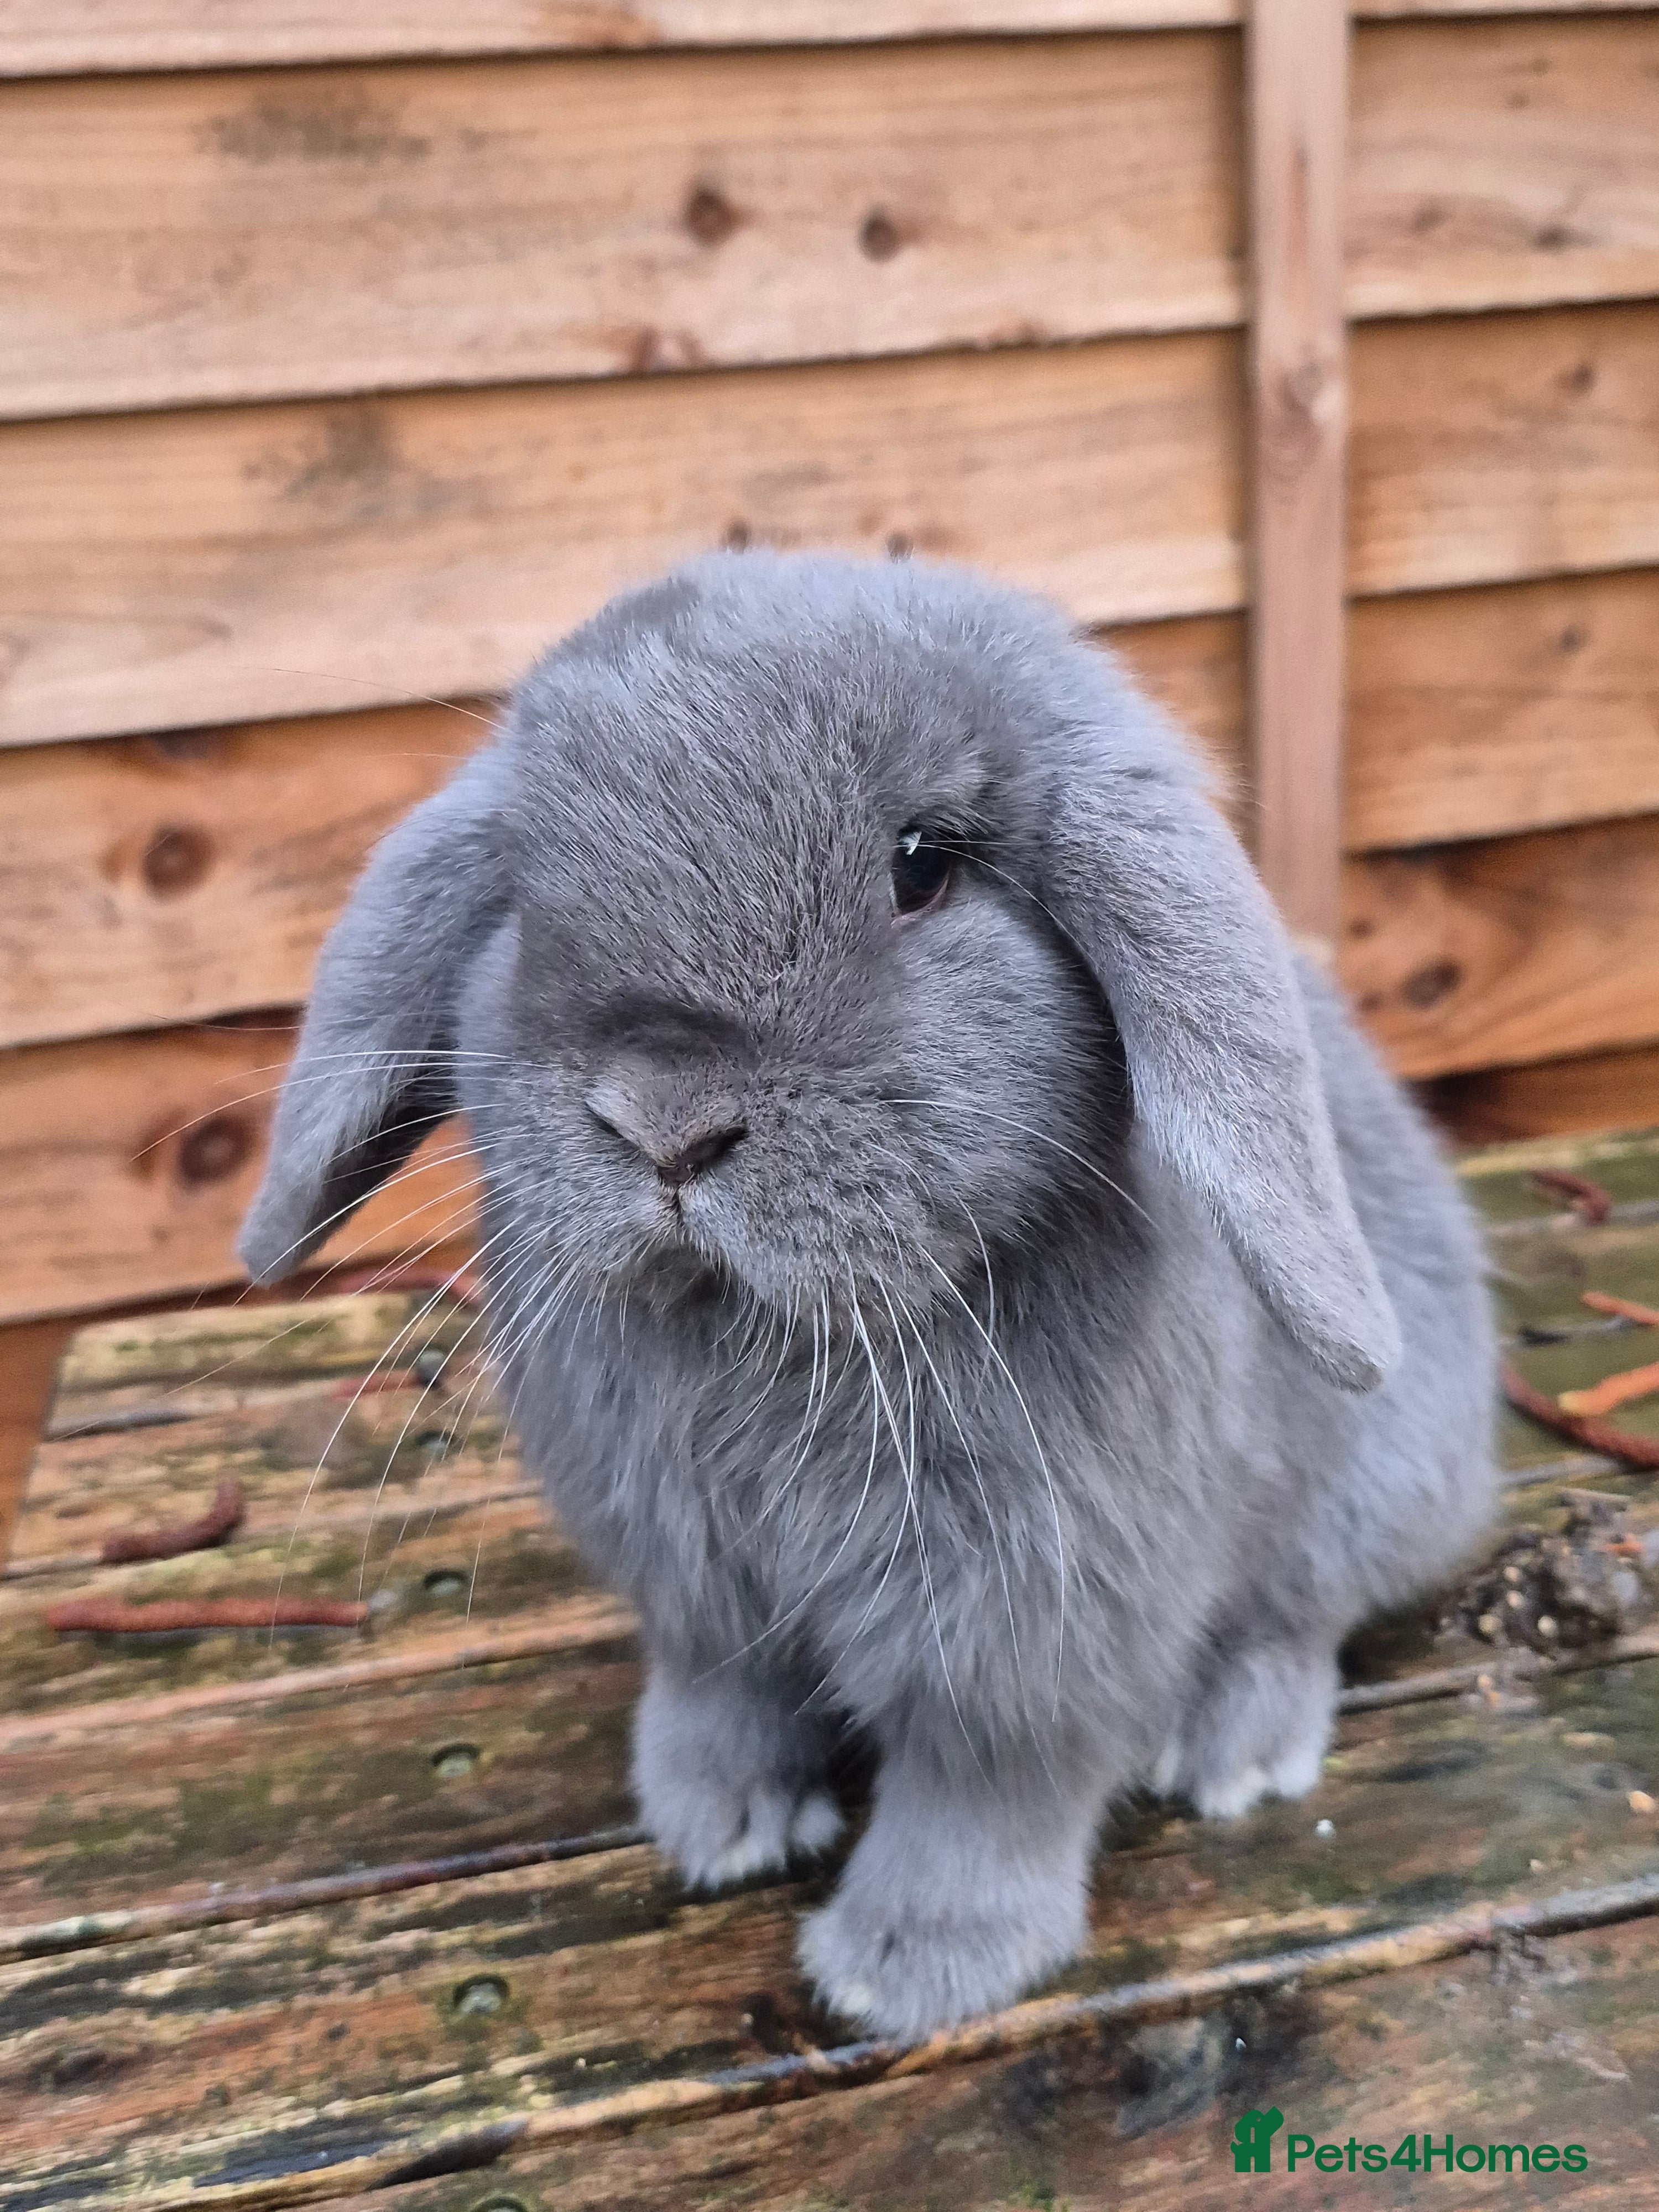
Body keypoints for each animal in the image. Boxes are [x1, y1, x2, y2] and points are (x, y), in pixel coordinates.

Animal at [240, 549, 1497, 2040]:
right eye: (527, 891)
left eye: (923, 865)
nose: (662, 1117)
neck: (766, 1332)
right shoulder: (701, 1593)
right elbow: (722, 1697)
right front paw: (714, 1824)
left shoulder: (1026, 1628)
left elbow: (984, 1787)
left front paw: (908, 1967)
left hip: (1369, 1490)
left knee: (1302, 1614)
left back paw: (1235, 1748)